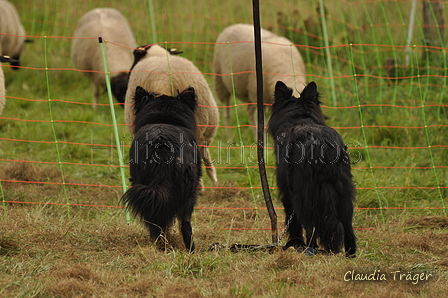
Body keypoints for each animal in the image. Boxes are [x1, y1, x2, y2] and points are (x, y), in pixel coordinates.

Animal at [121, 86, 201, 251]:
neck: (163, 119)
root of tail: (161, 146)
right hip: (188, 193)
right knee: (184, 224)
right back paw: (189, 250)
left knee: (157, 223)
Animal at [266, 81, 356, 256]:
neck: (300, 118)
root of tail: (324, 147)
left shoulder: (288, 195)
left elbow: (293, 222)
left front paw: (294, 243)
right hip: (343, 193)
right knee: (348, 229)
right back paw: (350, 255)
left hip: (305, 197)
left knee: (311, 227)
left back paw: (309, 250)